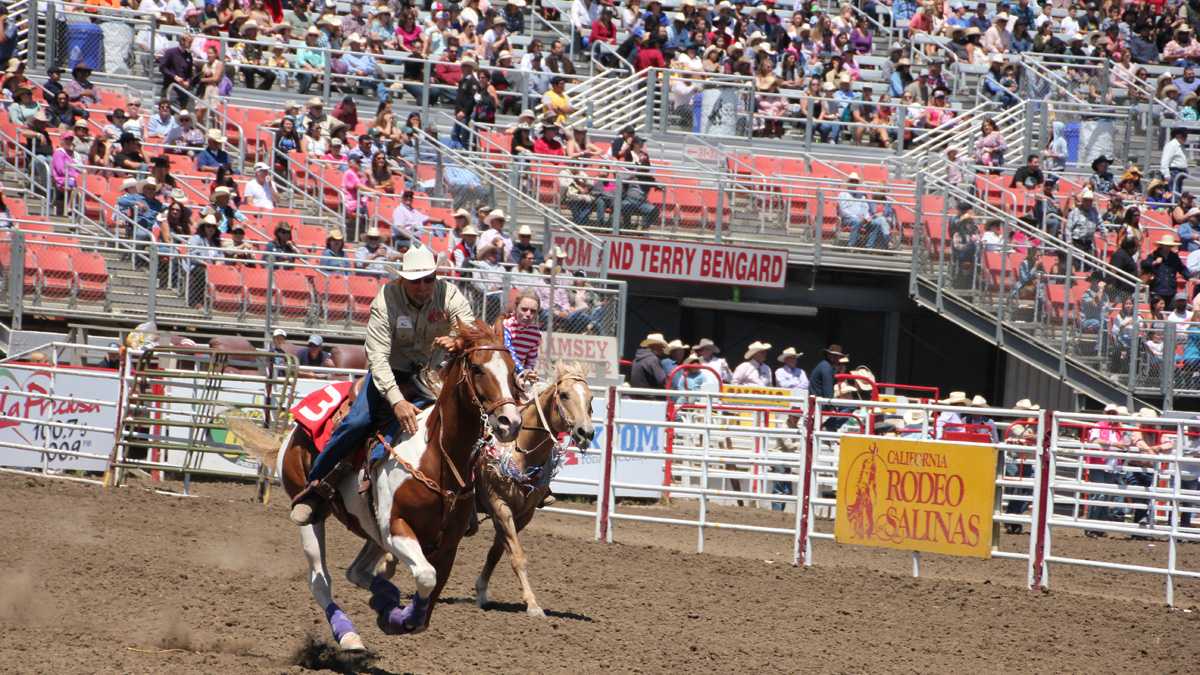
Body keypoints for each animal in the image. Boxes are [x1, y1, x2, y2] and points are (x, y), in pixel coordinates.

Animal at [236, 324, 518, 648]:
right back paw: (349, 635)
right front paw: (394, 617)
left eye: (513, 370)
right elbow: (425, 576)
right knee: (320, 580)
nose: (510, 422)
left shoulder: (448, 544)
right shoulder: (395, 528)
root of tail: (291, 433)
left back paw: (384, 598)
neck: (435, 455)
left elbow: (426, 603)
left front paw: (392, 613)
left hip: (371, 528)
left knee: (356, 571)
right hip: (313, 515)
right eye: (477, 368)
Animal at [472, 362, 595, 614]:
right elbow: (518, 557)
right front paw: (532, 604)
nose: (586, 433)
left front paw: (481, 592)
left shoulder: (523, 514)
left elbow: (498, 553)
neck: (519, 451)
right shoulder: (499, 506)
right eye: (564, 394)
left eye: (591, 397)